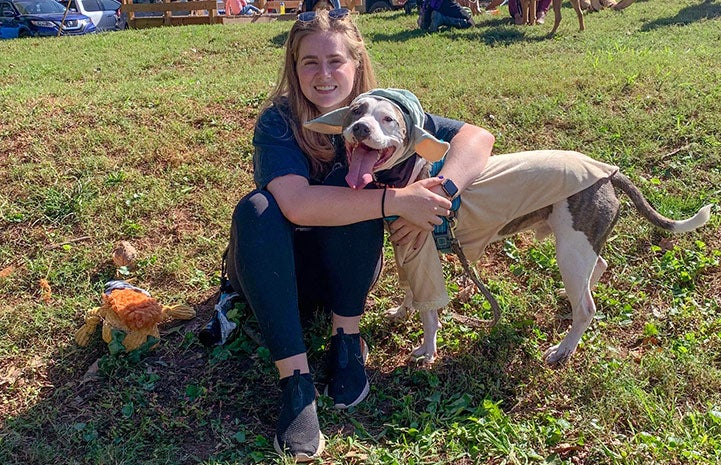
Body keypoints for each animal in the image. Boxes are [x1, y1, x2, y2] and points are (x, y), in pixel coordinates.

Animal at [302, 86, 708, 362]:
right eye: (356, 111)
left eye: (388, 119)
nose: (360, 128)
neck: (408, 176)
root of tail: (608, 173)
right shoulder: (407, 251)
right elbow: (411, 294)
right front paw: (401, 312)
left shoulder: (423, 256)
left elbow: (430, 313)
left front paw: (426, 350)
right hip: (578, 246)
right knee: (598, 269)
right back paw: (572, 301)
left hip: (571, 249)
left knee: (589, 309)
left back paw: (564, 348)